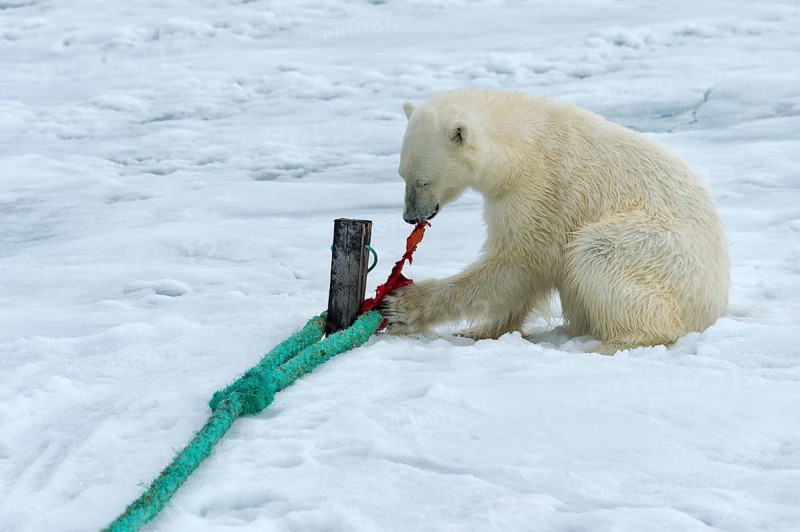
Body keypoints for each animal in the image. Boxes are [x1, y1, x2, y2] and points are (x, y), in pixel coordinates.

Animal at [383, 88, 729, 355]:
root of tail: (714, 306)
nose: (410, 216)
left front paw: (400, 306)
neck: (522, 143)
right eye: (402, 175)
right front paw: (479, 331)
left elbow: (518, 262)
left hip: (660, 254)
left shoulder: (542, 189)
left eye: (422, 181)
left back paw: (608, 345)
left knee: (598, 251)